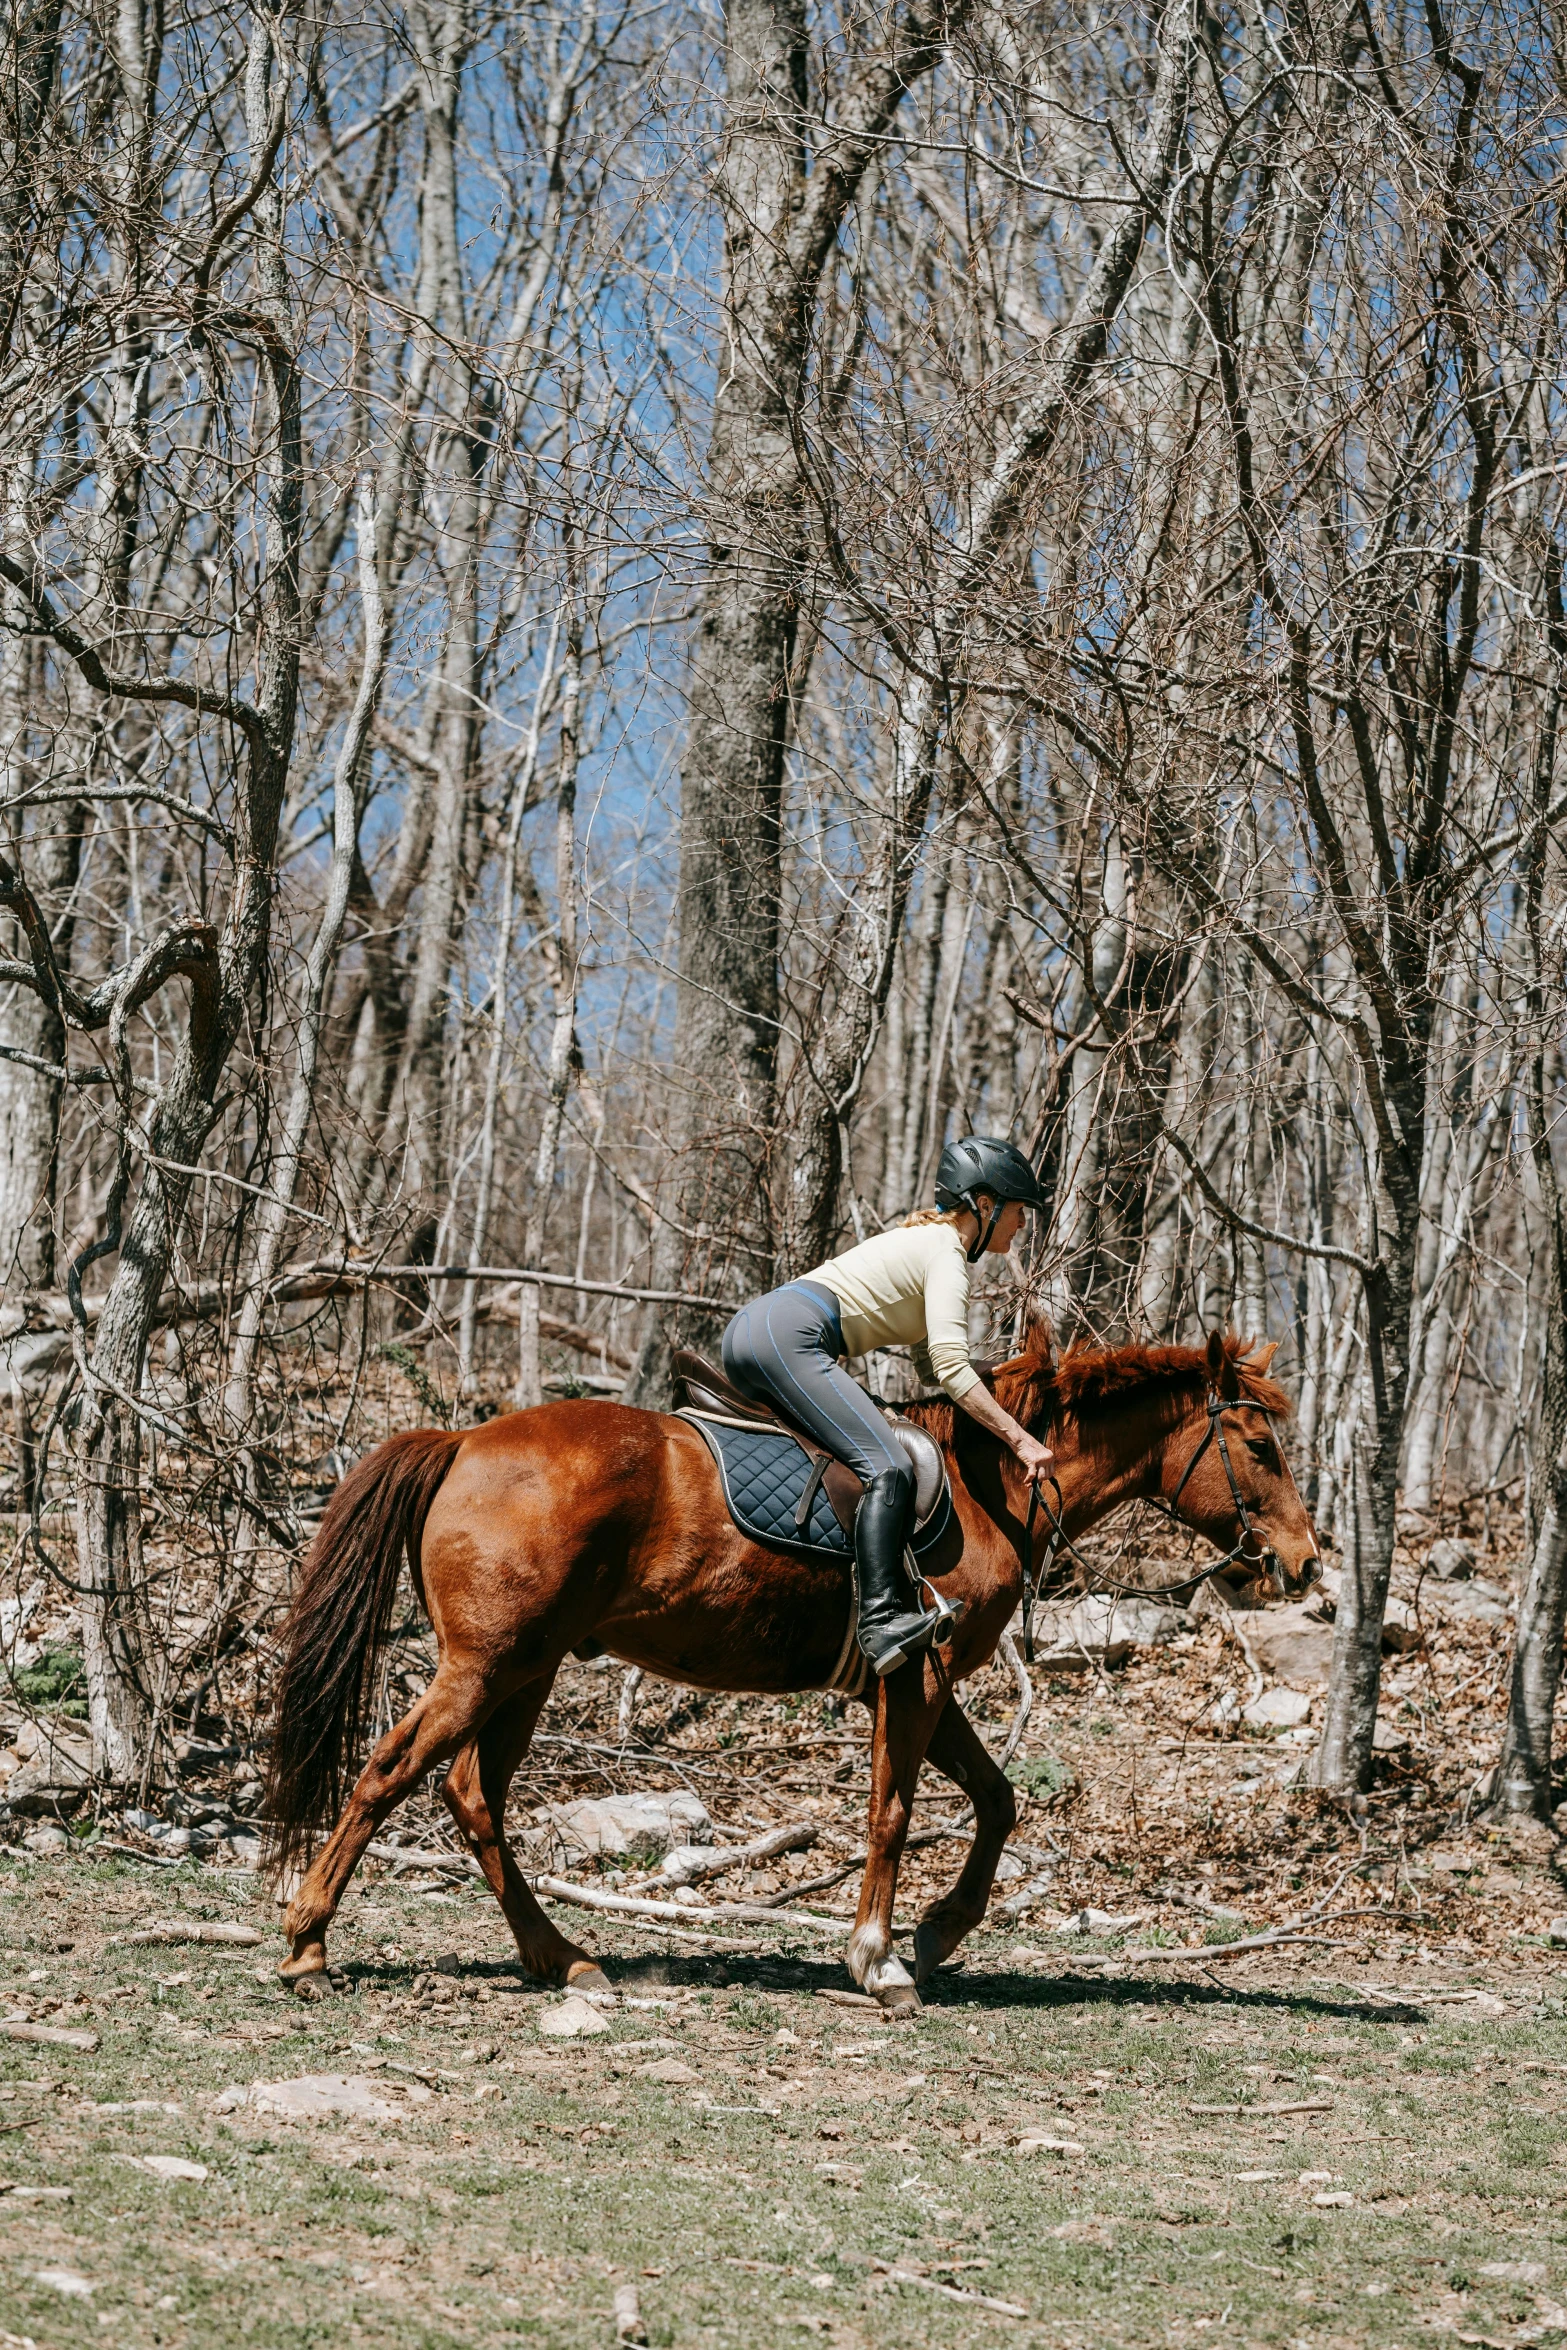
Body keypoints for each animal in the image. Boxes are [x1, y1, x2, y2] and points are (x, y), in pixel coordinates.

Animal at [263, 1334, 1315, 2011]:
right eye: (1260, 1447)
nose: (1304, 1564)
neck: (989, 1489)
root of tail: (463, 1442)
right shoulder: (914, 1679)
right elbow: (892, 1813)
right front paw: (878, 1960)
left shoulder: (926, 1682)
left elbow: (996, 1799)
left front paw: (939, 1932)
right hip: (488, 1665)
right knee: (389, 1772)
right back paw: (308, 1944)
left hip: (529, 1669)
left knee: (471, 1794)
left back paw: (560, 1958)